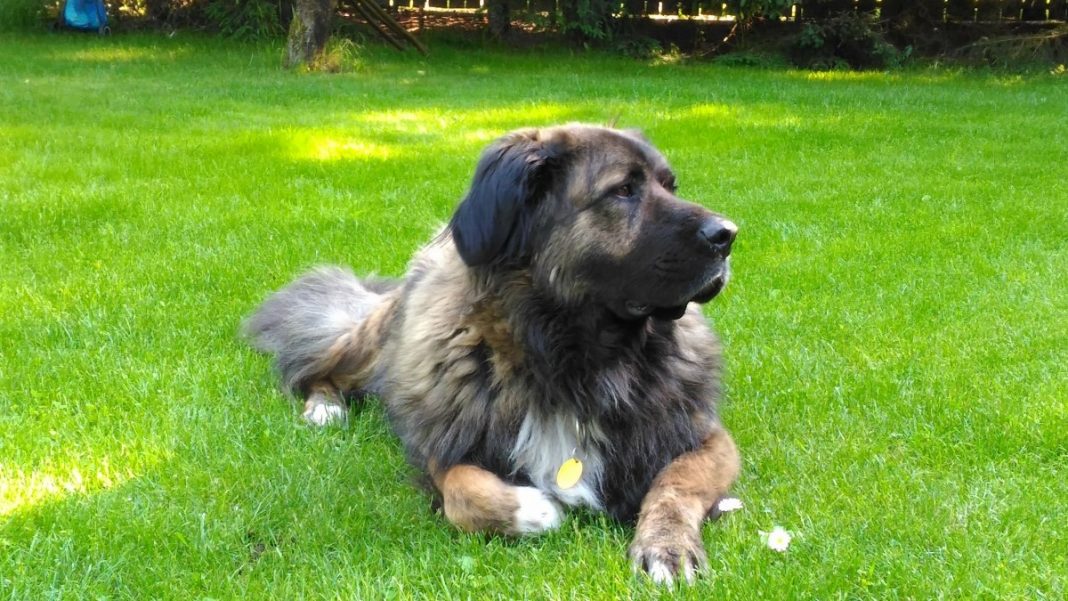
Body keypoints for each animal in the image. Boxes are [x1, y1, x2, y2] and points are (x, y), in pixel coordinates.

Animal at [244, 124, 739, 584]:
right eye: (623, 190)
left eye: (670, 185)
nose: (729, 234)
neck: (575, 358)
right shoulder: (444, 439)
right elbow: (463, 490)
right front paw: (535, 509)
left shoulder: (705, 437)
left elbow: (674, 484)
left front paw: (667, 544)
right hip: (372, 345)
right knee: (312, 368)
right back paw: (325, 408)